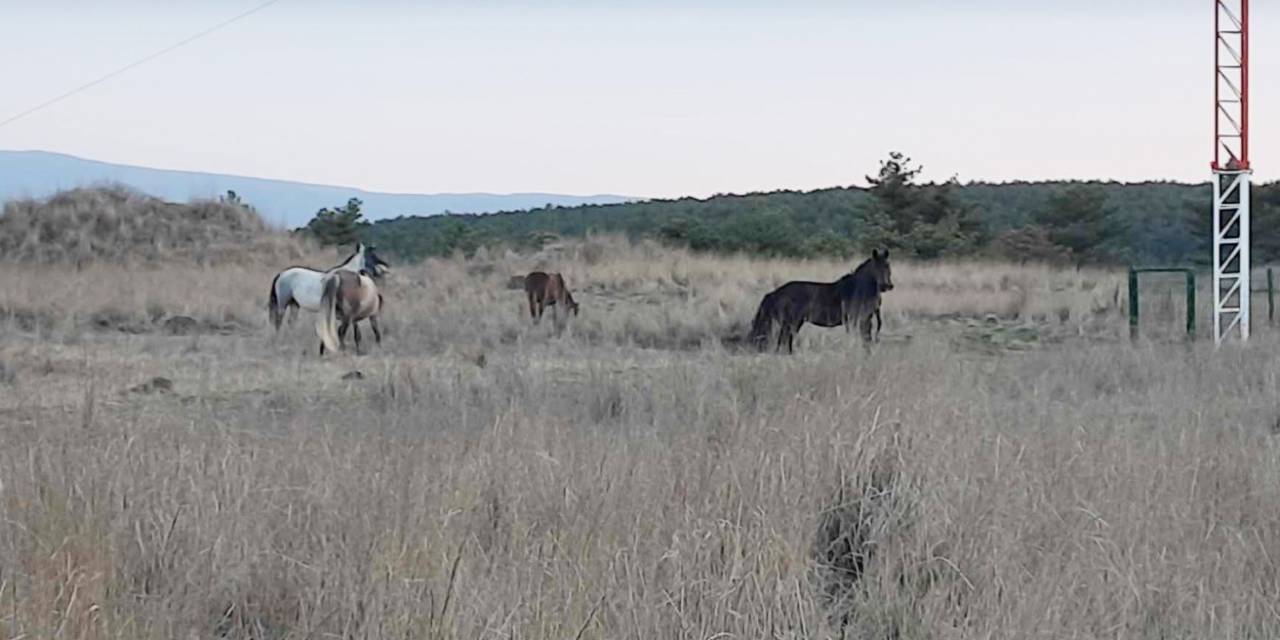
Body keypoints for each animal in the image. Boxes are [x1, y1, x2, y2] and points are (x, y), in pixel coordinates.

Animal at [747, 247, 896, 353]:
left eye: (888, 266)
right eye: (876, 267)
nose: (887, 286)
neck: (857, 289)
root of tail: (775, 293)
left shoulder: (866, 319)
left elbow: (867, 340)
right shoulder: (857, 320)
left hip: (794, 323)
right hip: (790, 323)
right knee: (783, 341)